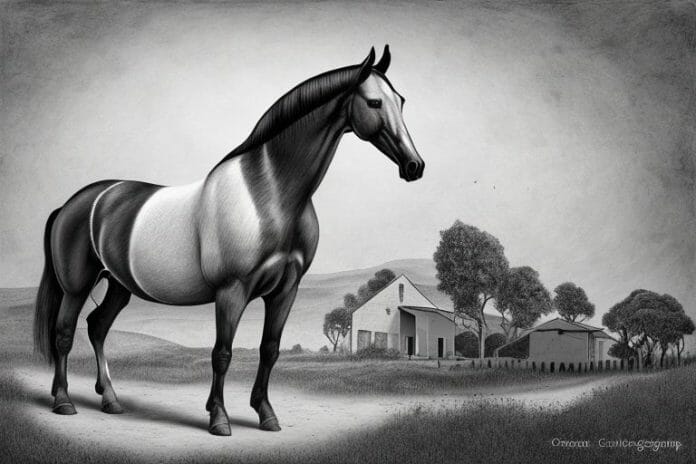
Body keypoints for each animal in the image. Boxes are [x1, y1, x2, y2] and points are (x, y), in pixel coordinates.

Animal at [33, 45, 424, 436]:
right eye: (374, 102)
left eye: (401, 101)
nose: (414, 166)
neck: (269, 195)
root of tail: (73, 203)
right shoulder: (231, 291)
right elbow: (222, 353)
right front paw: (219, 418)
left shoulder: (286, 290)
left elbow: (270, 349)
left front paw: (266, 414)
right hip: (76, 286)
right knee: (64, 333)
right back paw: (63, 401)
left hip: (118, 285)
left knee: (97, 327)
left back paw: (111, 400)